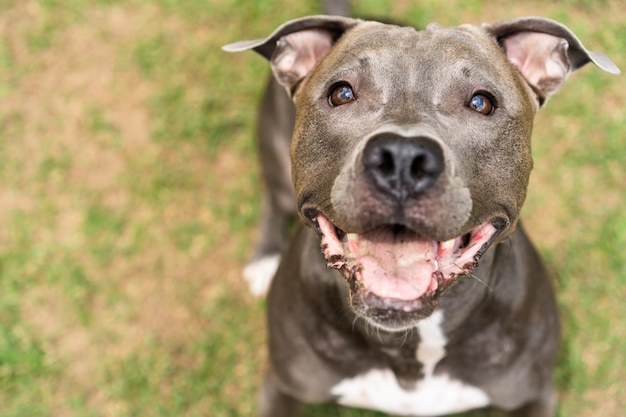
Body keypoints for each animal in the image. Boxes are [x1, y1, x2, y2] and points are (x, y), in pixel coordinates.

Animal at [222, 13, 616, 416]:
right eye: (341, 93)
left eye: (481, 102)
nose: (402, 158)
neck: (411, 346)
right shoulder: (280, 387)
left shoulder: (534, 395)